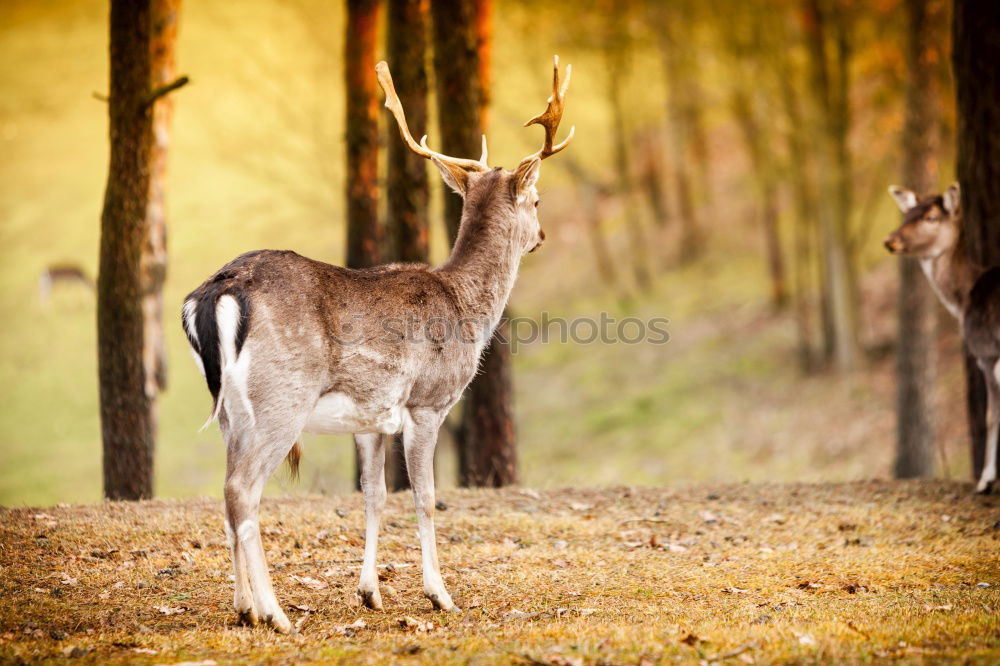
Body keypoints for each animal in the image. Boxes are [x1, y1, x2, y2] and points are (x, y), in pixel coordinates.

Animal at [180, 55, 572, 628]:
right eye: (537, 199)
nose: (541, 237)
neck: (466, 307)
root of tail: (217, 291)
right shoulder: (428, 402)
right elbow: (426, 497)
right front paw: (439, 594)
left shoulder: (368, 419)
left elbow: (374, 496)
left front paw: (370, 592)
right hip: (282, 397)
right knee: (242, 493)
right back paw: (275, 614)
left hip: (231, 409)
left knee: (227, 496)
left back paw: (245, 608)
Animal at [888, 183, 996, 492]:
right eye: (906, 214)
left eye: (932, 217)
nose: (890, 240)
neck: (962, 302)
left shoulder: (986, 351)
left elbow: (990, 416)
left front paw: (985, 480)